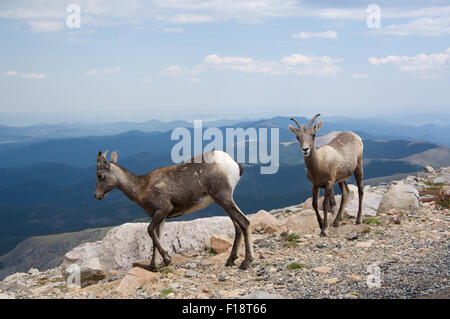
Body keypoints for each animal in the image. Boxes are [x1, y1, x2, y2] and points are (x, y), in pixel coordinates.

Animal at [94, 151, 253, 272]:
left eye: (100, 175)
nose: (97, 195)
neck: (142, 187)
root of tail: (234, 164)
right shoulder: (161, 217)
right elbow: (155, 237)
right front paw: (154, 266)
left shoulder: (162, 210)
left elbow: (149, 231)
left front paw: (166, 259)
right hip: (224, 201)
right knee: (237, 226)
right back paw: (230, 260)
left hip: (223, 198)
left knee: (244, 222)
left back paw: (245, 262)